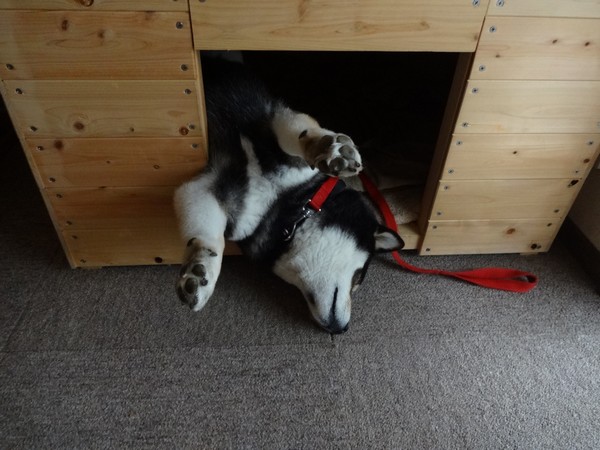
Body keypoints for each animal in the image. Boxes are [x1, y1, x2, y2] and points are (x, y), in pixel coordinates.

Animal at [174, 57, 404, 334]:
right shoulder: (268, 115)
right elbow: (299, 132)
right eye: (359, 277)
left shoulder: (201, 191)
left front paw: (202, 268)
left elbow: (206, 232)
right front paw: (329, 148)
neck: (294, 207)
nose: (341, 330)